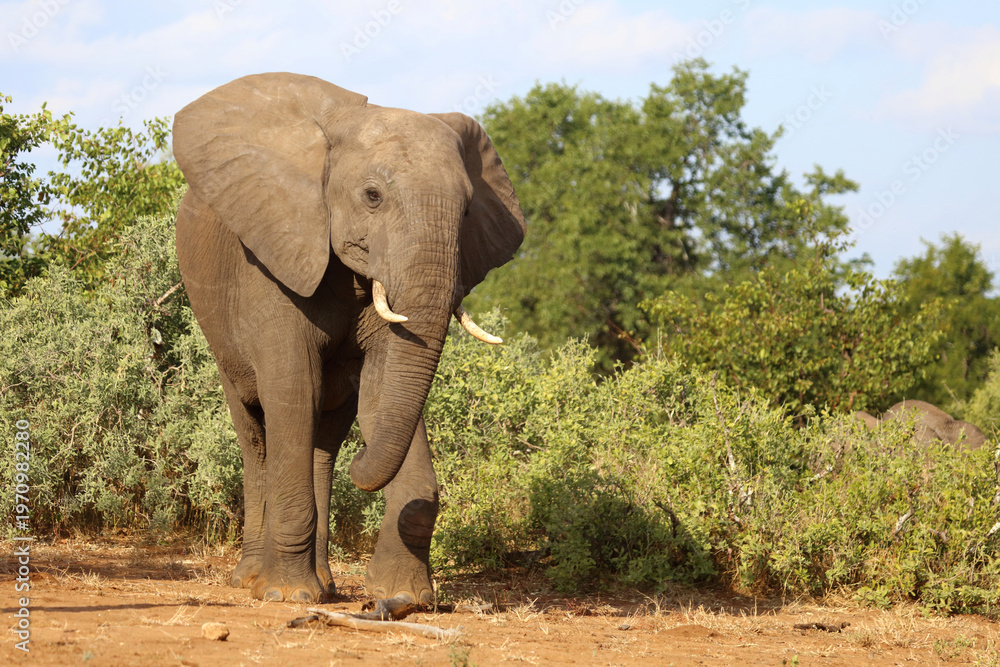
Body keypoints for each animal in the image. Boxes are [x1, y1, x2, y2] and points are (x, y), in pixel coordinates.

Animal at [172, 73, 525, 604]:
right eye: (373, 196)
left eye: (466, 212)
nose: (364, 458)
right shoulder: (276, 256)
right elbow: (294, 388)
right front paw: (287, 597)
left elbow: (381, 394)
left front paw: (405, 598)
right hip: (217, 330)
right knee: (256, 433)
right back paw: (256, 580)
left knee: (323, 440)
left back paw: (325, 585)